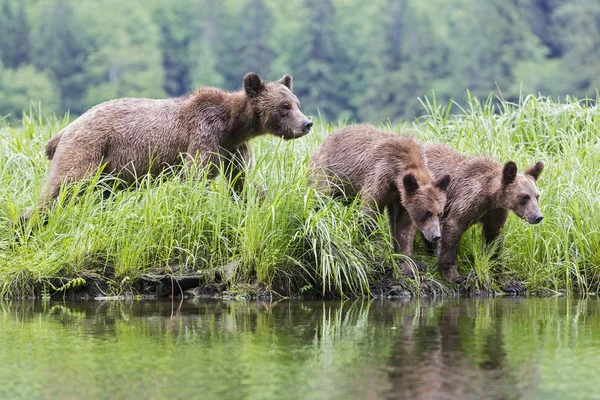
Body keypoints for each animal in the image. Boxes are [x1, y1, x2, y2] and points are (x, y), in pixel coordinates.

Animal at [22, 72, 314, 222]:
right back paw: (28, 221)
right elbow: (196, 175)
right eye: (285, 106)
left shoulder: (234, 149)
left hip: (106, 171)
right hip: (88, 149)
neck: (233, 125)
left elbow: (240, 181)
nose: (307, 123)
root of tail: (65, 129)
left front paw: (255, 198)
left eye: (297, 102)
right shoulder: (204, 135)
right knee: (63, 186)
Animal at [312, 125, 448, 278]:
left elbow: (403, 226)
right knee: (320, 195)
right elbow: (370, 211)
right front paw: (375, 250)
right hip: (327, 171)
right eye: (426, 213)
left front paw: (410, 265)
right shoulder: (380, 177)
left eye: (440, 213)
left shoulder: (401, 198)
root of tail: (324, 141)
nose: (436, 236)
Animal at [422, 144, 544, 284]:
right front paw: (453, 275)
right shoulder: (467, 202)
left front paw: (503, 279)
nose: (538, 216)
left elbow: (494, 239)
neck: (491, 197)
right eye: (524, 197)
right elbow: (453, 228)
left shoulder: (496, 212)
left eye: (537, 196)